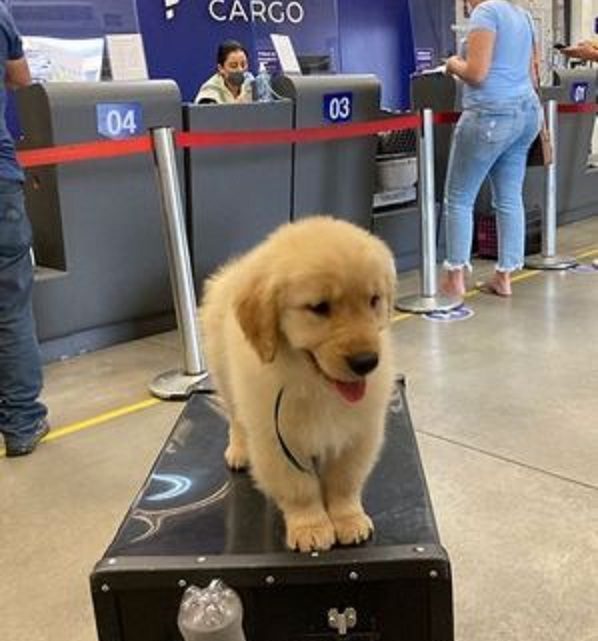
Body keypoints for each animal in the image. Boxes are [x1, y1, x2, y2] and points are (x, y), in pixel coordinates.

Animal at [200, 215, 398, 552]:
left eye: (374, 300)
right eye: (319, 307)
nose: (367, 362)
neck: (315, 384)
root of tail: (237, 268)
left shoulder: (358, 434)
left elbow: (345, 482)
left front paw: (349, 519)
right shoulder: (277, 439)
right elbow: (300, 490)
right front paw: (311, 527)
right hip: (225, 377)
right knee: (236, 420)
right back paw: (239, 451)